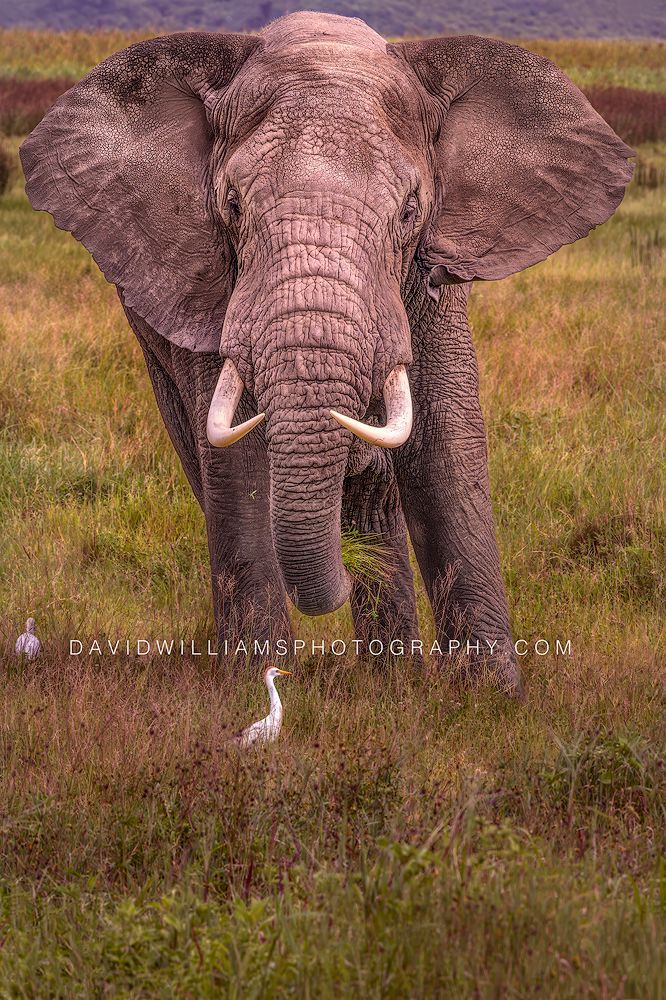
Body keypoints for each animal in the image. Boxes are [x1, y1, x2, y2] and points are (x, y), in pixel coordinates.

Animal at [20, 12, 633, 693]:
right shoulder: (209, 280)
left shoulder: (431, 277)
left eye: (411, 210)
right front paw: (256, 690)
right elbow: (237, 460)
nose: (343, 571)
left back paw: (390, 676)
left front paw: (489, 700)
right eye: (231, 206)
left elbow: (445, 444)